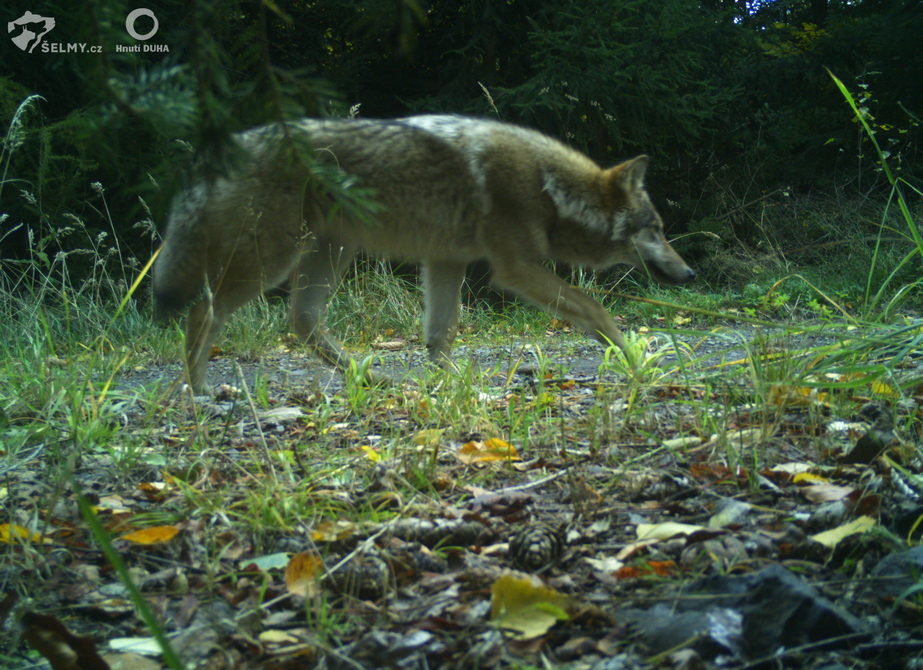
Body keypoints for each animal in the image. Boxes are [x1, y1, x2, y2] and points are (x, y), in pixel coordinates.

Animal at [155, 114, 696, 388]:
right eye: (657, 228)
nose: (690, 275)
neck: (550, 187)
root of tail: (227, 148)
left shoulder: (446, 261)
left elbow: (440, 335)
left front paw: (451, 387)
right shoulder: (515, 269)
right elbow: (597, 311)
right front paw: (637, 364)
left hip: (328, 253)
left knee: (302, 322)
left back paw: (368, 377)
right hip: (273, 260)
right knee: (204, 312)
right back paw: (198, 393)